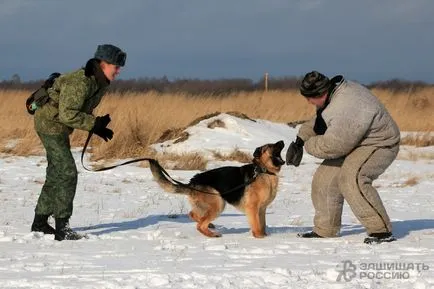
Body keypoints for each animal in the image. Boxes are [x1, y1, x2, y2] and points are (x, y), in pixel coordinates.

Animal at [149, 141, 284, 237]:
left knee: (193, 215)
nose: (282, 141)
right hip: (218, 204)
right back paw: (212, 234)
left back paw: (210, 225)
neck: (263, 171)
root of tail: (192, 182)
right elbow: (257, 227)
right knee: (199, 225)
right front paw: (261, 238)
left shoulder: (262, 209)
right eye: (270, 146)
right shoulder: (253, 208)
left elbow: (263, 225)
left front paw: (266, 236)